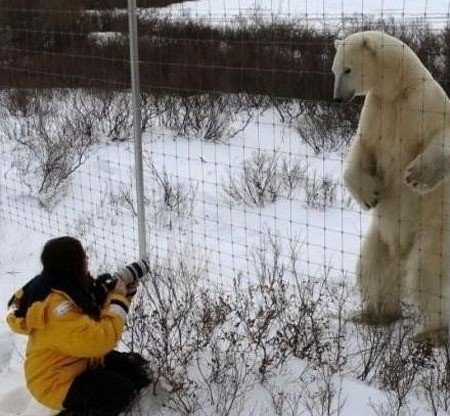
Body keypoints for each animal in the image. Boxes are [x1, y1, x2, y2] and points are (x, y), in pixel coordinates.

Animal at [332, 30, 450, 340]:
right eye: (334, 69)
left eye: (348, 69)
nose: (337, 98)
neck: (399, 88)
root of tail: (403, 249)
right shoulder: (375, 112)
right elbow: (361, 152)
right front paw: (370, 195)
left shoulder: (423, 105)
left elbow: (443, 136)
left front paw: (415, 176)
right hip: (380, 238)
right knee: (373, 267)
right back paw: (375, 314)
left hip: (435, 231)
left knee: (427, 275)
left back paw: (433, 332)